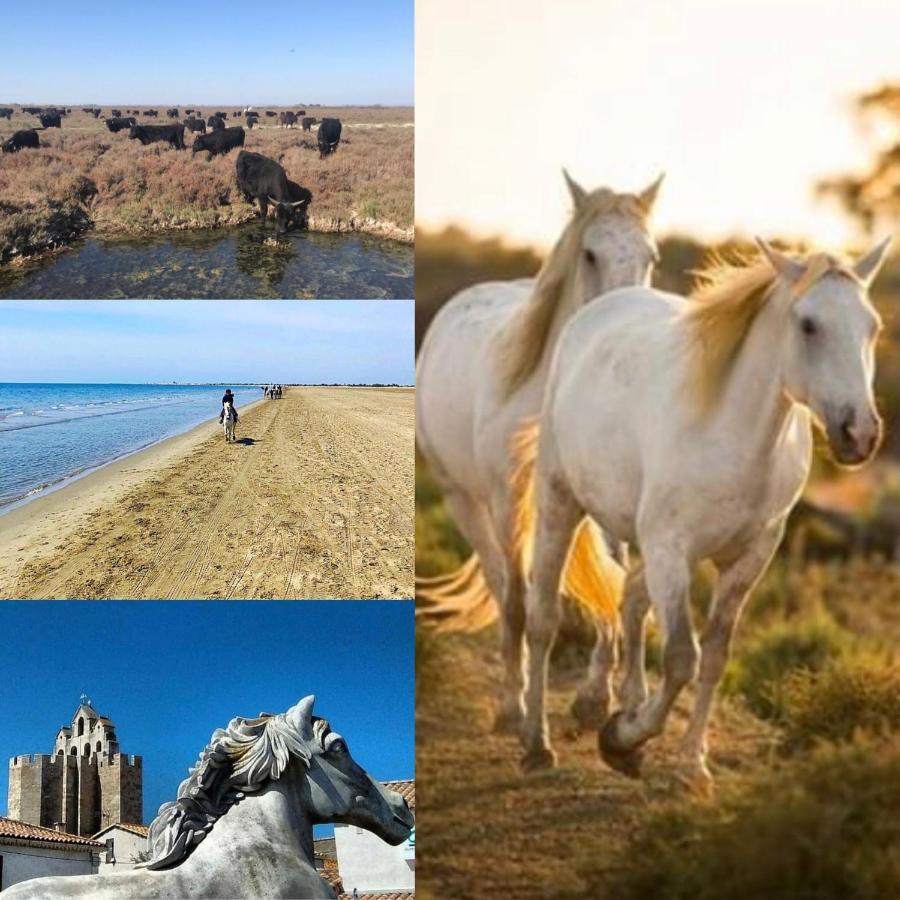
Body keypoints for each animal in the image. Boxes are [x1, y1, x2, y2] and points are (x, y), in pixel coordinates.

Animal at [414, 171, 660, 732]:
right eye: (589, 254)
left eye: (651, 255)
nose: (627, 323)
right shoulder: (510, 504)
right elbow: (519, 602)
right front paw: (515, 706)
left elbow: (619, 589)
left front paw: (606, 695)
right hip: (467, 501)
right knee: (504, 584)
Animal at [516, 236, 888, 784]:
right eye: (808, 325)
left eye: (872, 326)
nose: (859, 434)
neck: (734, 437)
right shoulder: (671, 548)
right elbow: (679, 658)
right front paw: (623, 738)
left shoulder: (749, 559)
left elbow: (713, 656)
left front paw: (690, 762)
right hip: (562, 504)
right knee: (544, 618)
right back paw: (537, 744)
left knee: (630, 601)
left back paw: (622, 705)